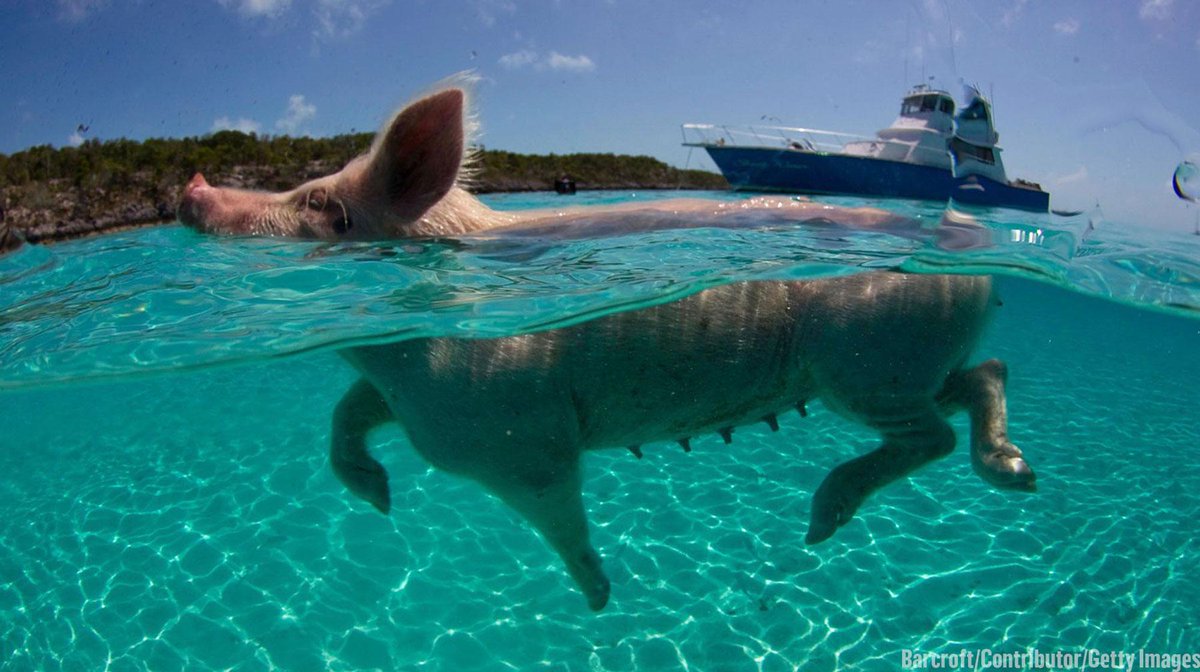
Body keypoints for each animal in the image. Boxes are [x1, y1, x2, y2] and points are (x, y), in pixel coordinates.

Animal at [177, 77, 1036, 611]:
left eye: (318, 205)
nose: (190, 188)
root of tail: (965, 256)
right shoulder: (413, 399)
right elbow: (346, 415)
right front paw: (381, 500)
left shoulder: (513, 442)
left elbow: (560, 514)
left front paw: (597, 598)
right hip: (906, 360)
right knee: (984, 377)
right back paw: (1015, 475)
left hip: (862, 360)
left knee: (931, 434)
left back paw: (820, 522)